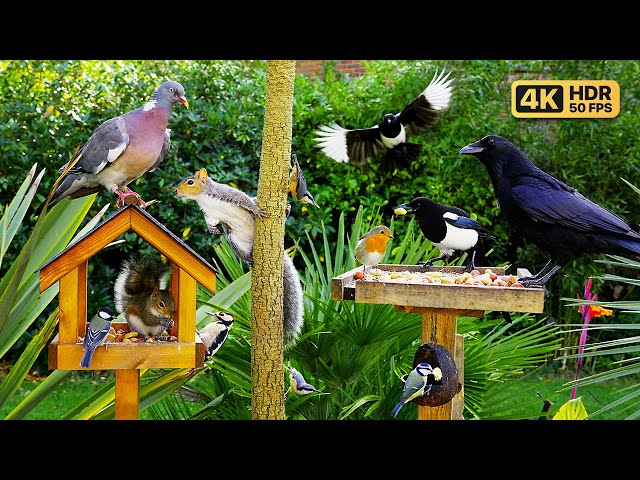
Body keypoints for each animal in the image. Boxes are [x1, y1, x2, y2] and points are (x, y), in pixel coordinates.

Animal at [175, 167, 304, 348]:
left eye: (190, 182)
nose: (175, 191)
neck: (205, 199)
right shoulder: (210, 214)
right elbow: (211, 222)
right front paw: (212, 230)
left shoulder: (229, 194)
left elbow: (245, 200)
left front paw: (257, 210)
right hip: (235, 241)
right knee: (243, 253)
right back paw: (249, 258)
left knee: (259, 202)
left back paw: (286, 210)